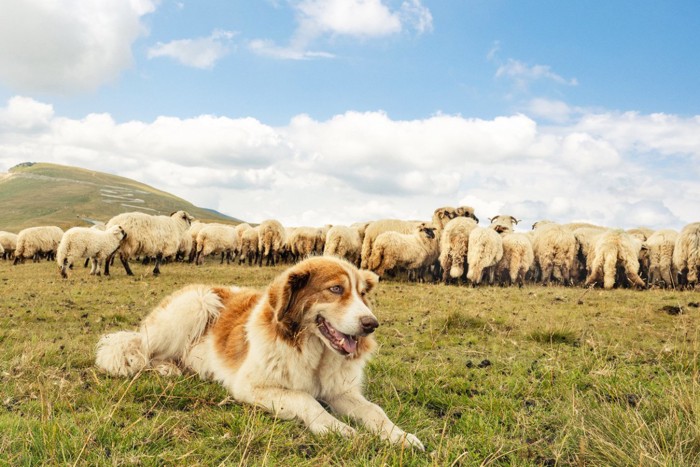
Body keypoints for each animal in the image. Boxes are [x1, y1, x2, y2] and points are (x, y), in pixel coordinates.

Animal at [95, 256, 424, 450]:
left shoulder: (342, 391)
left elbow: (375, 412)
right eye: (335, 289)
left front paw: (400, 436)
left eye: (362, 294)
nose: (372, 324)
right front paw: (336, 429)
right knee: (143, 349)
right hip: (197, 304)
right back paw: (164, 368)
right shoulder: (251, 386)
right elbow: (305, 399)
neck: (313, 351)